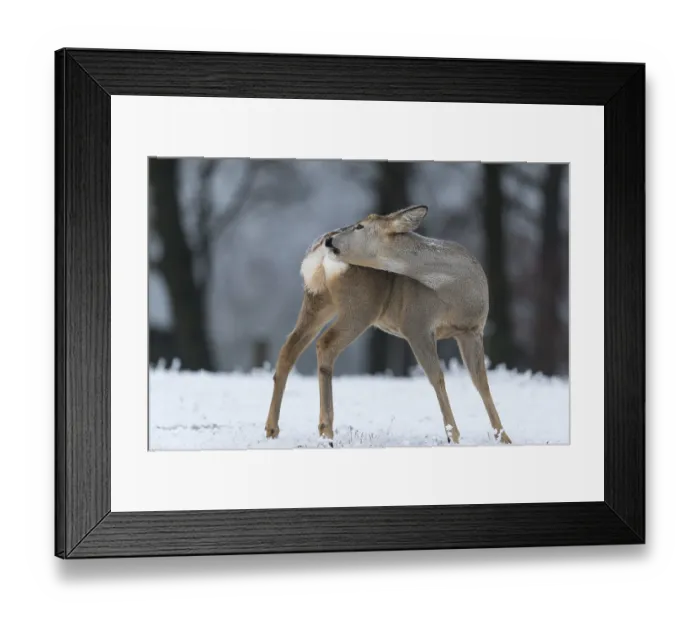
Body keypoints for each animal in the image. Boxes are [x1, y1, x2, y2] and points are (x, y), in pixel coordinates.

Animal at [264, 205, 512, 446]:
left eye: (360, 226)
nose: (330, 240)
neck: (457, 290)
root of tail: (316, 255)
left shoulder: (472, 330)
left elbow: (481, 382)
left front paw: (504, 437)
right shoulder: (416, 323)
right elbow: (437, 377)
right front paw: (454, 435)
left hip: (319, 300)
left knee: (290, 348)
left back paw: (272, 429)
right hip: (361, 306)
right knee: (325, 344)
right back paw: (326, 431)